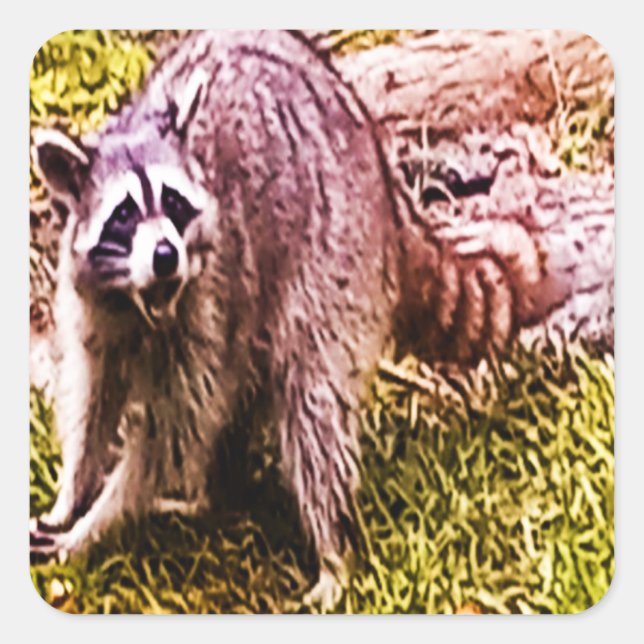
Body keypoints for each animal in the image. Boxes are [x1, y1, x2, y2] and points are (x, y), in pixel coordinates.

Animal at [30, 30, 405, 608]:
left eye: (174, 204)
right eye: (124, 214)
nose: (166, 256)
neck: (140, 305)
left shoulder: (210, 302)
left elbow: (169, 433)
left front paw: (97, 522)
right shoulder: (87, 305)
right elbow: (93, 400)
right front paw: (73, 492)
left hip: (337, 252)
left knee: (311, 407)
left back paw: (330, 550)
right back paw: (207, 496)